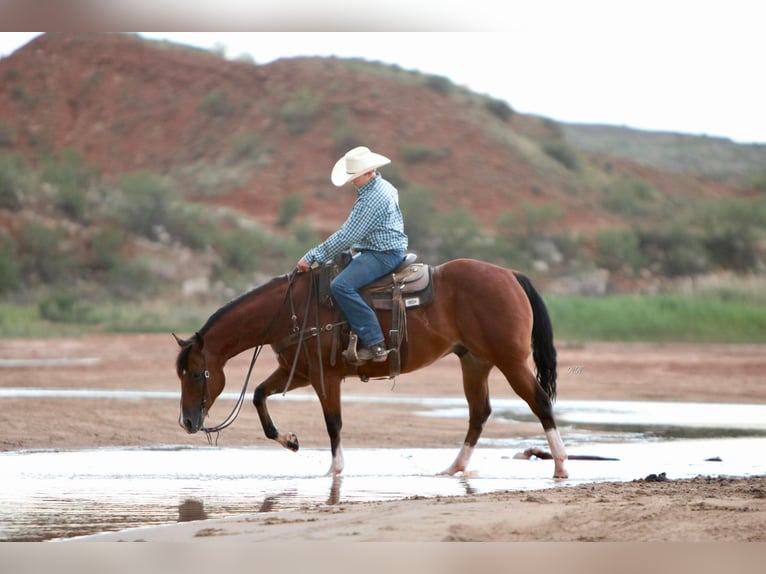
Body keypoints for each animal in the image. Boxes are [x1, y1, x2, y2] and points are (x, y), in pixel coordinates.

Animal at [174, 258, 568, 480]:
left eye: (195, 373)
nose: (188, 423)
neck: (292, 309)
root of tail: (511, 275)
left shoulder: (325, 377)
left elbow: (333, 422)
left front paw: (334, 470)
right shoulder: (297, 372)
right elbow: (258, 396)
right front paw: (290, 441)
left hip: (510, 361)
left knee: (539, 402)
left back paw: (561, 465)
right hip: (474, 361)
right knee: (479, 412)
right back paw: (454, 468)